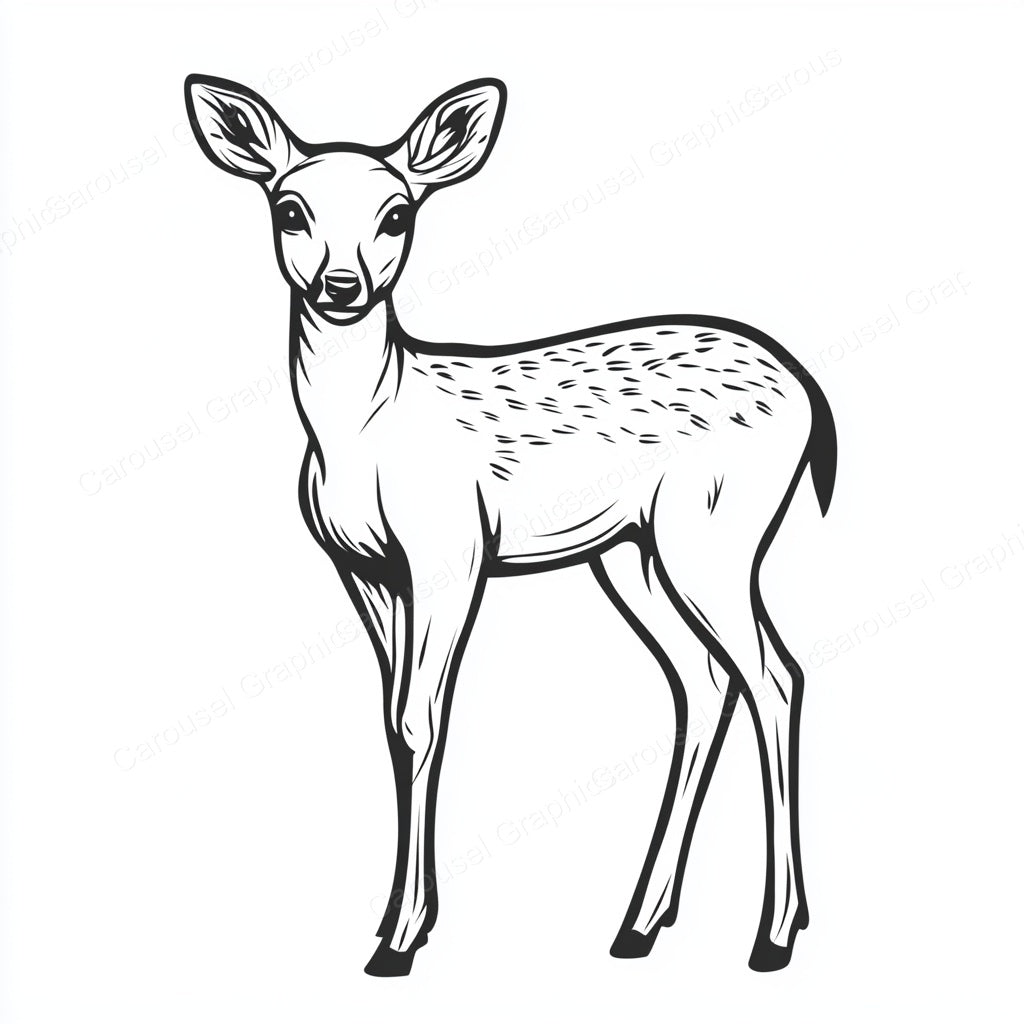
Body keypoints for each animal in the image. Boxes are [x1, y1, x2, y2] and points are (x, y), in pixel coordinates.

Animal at [185, 73, 837, 977]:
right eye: (288, 208)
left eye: (398, 213)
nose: (341, 286)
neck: (363, 434)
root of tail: (809, 393)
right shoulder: (366, 572)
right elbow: (392, 722)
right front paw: (396, 925)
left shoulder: (451, 550)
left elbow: (424, 717)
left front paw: (400, 940)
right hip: (633, 552)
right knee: (705, 682)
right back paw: (640, 924)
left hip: (716, 528)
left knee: (775, 676)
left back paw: (772, 935)